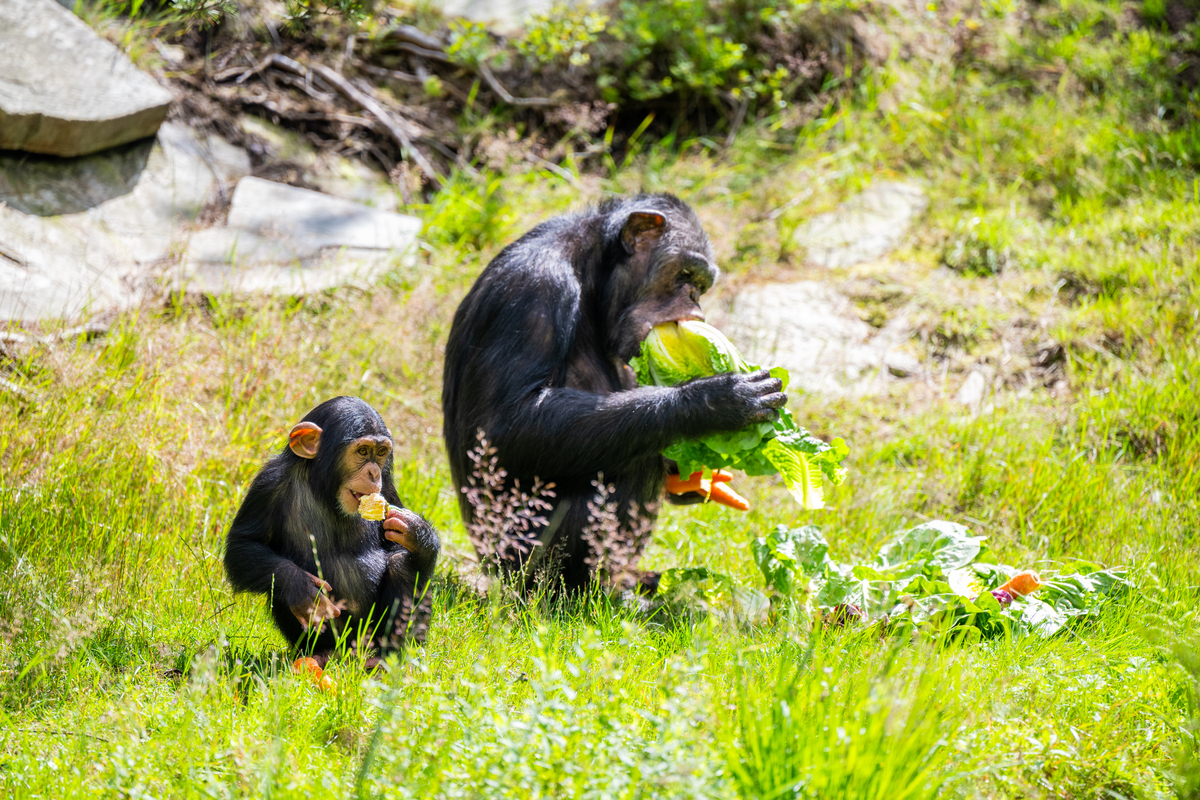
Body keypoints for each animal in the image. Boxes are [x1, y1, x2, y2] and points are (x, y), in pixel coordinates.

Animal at [223, 398, 439, 666]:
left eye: (381, 453)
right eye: (362, 451)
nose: (374, 473)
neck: (325, 491)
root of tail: (352, 653)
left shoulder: (386, 487)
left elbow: (397, 545)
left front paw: (416, 533)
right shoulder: (269, 483)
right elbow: (243, 545)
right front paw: (302, 588)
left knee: (402, 564)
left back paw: (388, 658)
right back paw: (321, 652)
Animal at [441, 194, 787, 592]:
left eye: (701, 284)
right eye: (685, 275)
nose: (694, 299)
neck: (591, 278)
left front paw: (692, 472)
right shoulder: (536, 287)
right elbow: (506, 426)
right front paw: (714, 402)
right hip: (519, 559)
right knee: (633, 463)